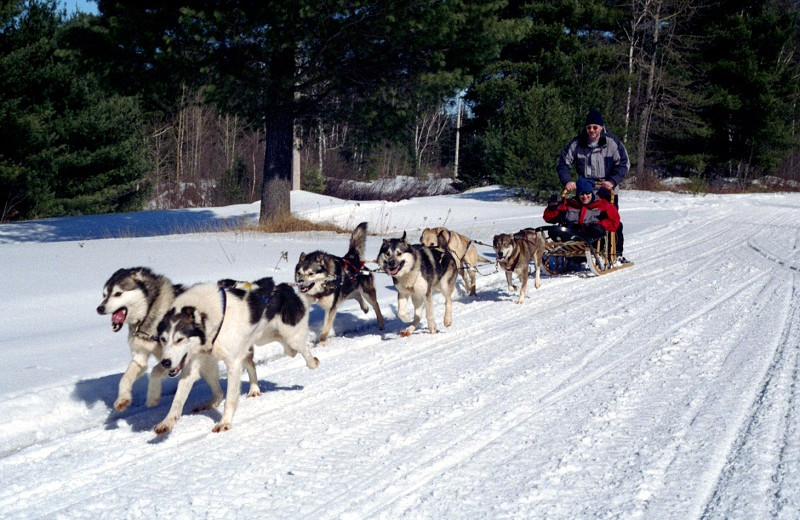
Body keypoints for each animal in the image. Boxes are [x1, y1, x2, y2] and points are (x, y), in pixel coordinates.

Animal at [97, 268, 184, 410]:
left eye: (118, 293)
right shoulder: (140, 356)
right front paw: (123, 399)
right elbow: (125, 378)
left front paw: (153, 396)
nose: (99, 308)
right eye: (104, 295)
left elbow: (155, 371)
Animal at [155, 276, 318, 434]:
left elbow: (230, 400)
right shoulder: (193, 364)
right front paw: (167, 422)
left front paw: (224, 423)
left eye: (180, 339)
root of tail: (283, 287)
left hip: (291, 337)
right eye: (163, 339)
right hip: (257, 341)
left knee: (303, 349)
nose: (165, 362)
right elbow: (177, 399)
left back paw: (313, 362)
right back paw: (249, 391)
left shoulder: (233, 363)